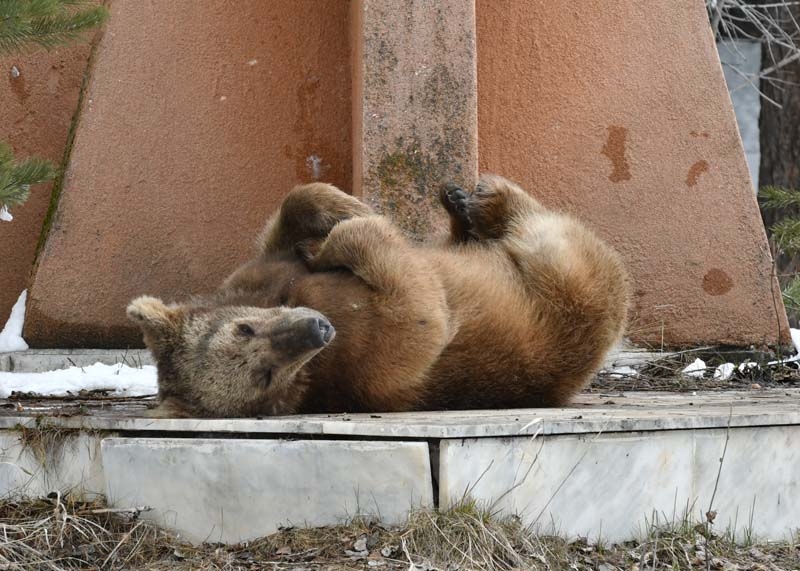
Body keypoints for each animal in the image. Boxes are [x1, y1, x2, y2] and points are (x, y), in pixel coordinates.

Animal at [128, 173, 628, 416]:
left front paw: (340, 215)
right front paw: (347, 235)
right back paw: (487, 201)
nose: (316, 328)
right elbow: (420, 313)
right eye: (263, 376)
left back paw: (460, 204)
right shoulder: (368, 353)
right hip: (572, 292)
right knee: (546, 237)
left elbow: (294, 211)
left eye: (244, 326)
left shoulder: (259, 275)